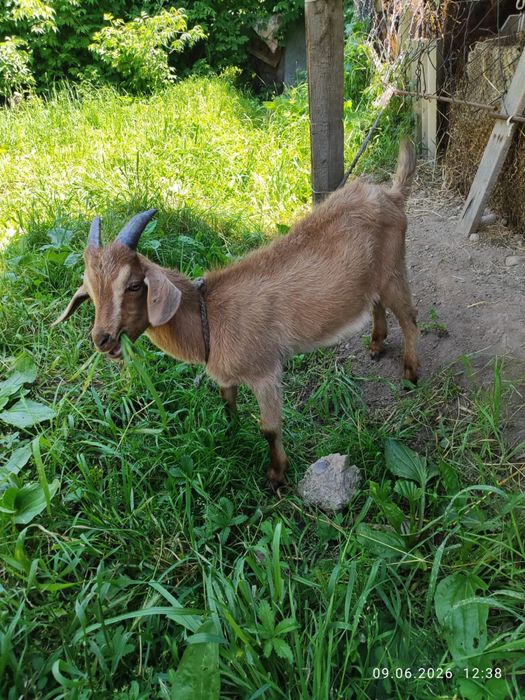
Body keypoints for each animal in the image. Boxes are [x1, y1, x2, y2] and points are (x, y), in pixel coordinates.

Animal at [55, 139, 418, 489]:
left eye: (133, 285)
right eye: (89, 293)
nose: (102, 339)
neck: (210, 316)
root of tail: (391, 194)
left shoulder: (265, 372)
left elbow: (269, 428)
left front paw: (276, 476)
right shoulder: (227, 377)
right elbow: (226, 401)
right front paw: (231, 434)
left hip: (393, 269)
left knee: (409, 317)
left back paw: (410, 375)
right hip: (373, 278)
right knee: (376, 303)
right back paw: (376, 345)